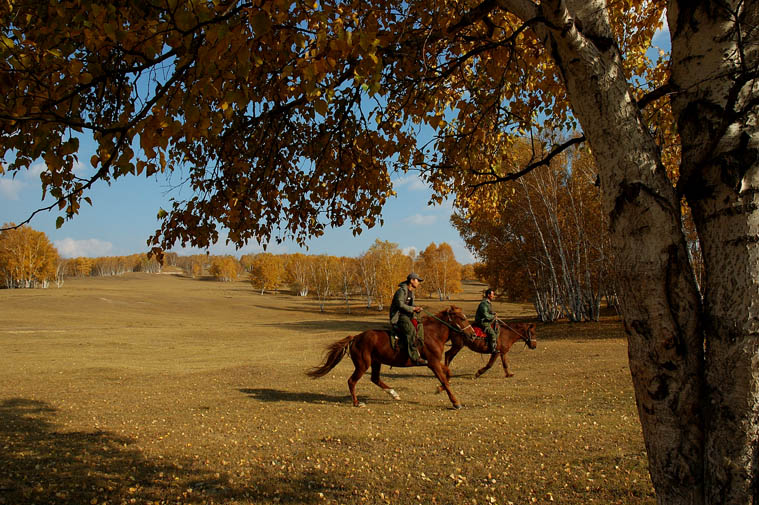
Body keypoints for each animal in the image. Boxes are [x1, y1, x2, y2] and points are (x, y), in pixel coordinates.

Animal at [308, 306, 476, 408]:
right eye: (462, 318)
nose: (473, 335)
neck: (432, 334)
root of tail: (356, 337)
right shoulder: (433, 363)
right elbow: (445, 380)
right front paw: (455, 402)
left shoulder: (434, 362)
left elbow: (448, 373)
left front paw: (439, 389)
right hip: (363, 365)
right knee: (352, 381)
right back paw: (357, 402)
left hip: (376, 362)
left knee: (375, 379)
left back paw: (394, 394)